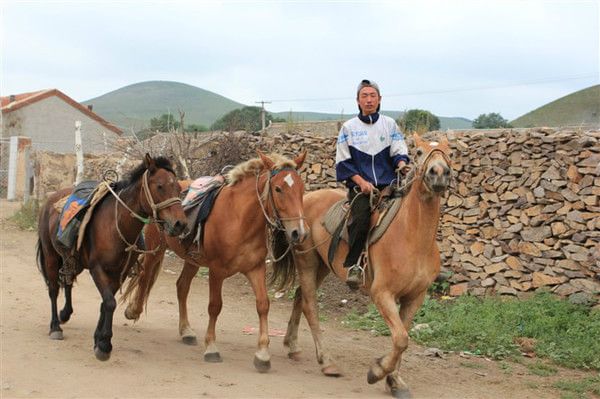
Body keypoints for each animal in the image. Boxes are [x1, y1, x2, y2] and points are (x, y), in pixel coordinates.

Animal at [36, 155, 186, 360]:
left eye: (178, 188)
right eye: (160, 186)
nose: (180, 224)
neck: (117, 225)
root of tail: (50, 200)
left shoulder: (118, 274)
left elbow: (105, 303)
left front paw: (98, 339)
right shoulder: (97, 269)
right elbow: (109, 302)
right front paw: (105, 344)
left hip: (73, 259)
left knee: (68, 281)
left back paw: (65, 314)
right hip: (51, 256)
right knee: (53, 289)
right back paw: (55, 327)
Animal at [123, 152, 310, 372]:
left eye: (302, 188)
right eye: (278, 189)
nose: (299, 232)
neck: (239, 219)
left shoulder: (255, 269)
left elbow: (263, 304)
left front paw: (263, 354)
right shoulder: (216, 271)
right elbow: (215, 306)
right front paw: (211, 347)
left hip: (192, 259)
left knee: (182, 287)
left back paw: (186, 330)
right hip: (156, 248)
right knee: (145, 276)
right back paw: (133, 310)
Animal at [284, 136, 452, 398]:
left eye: (450, 152)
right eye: (418, 151)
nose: (439, 173)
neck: (413, 238)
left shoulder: (415, 297)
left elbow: (402, 338)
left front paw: (394, 381)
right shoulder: (382, 294)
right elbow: (401, 339)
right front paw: (377, 371)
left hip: (322, 266)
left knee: (300, 297)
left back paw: (292, 346)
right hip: (307, 262)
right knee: (310, 305)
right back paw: (326, 362)